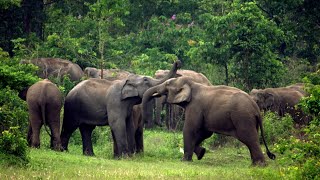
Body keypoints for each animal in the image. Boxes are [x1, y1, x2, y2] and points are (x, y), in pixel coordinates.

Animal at [142, 76, 276, 165]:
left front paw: (184, 161)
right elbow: (205, 133)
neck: (192, 84)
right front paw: (201, 153)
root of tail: (256, 108)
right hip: (250, 120)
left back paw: (259, 165)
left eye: (167, 84)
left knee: (249, 138)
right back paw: (255, 164)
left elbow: (190, 129)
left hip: (243, 118)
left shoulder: (195, 107)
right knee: (252, 138)